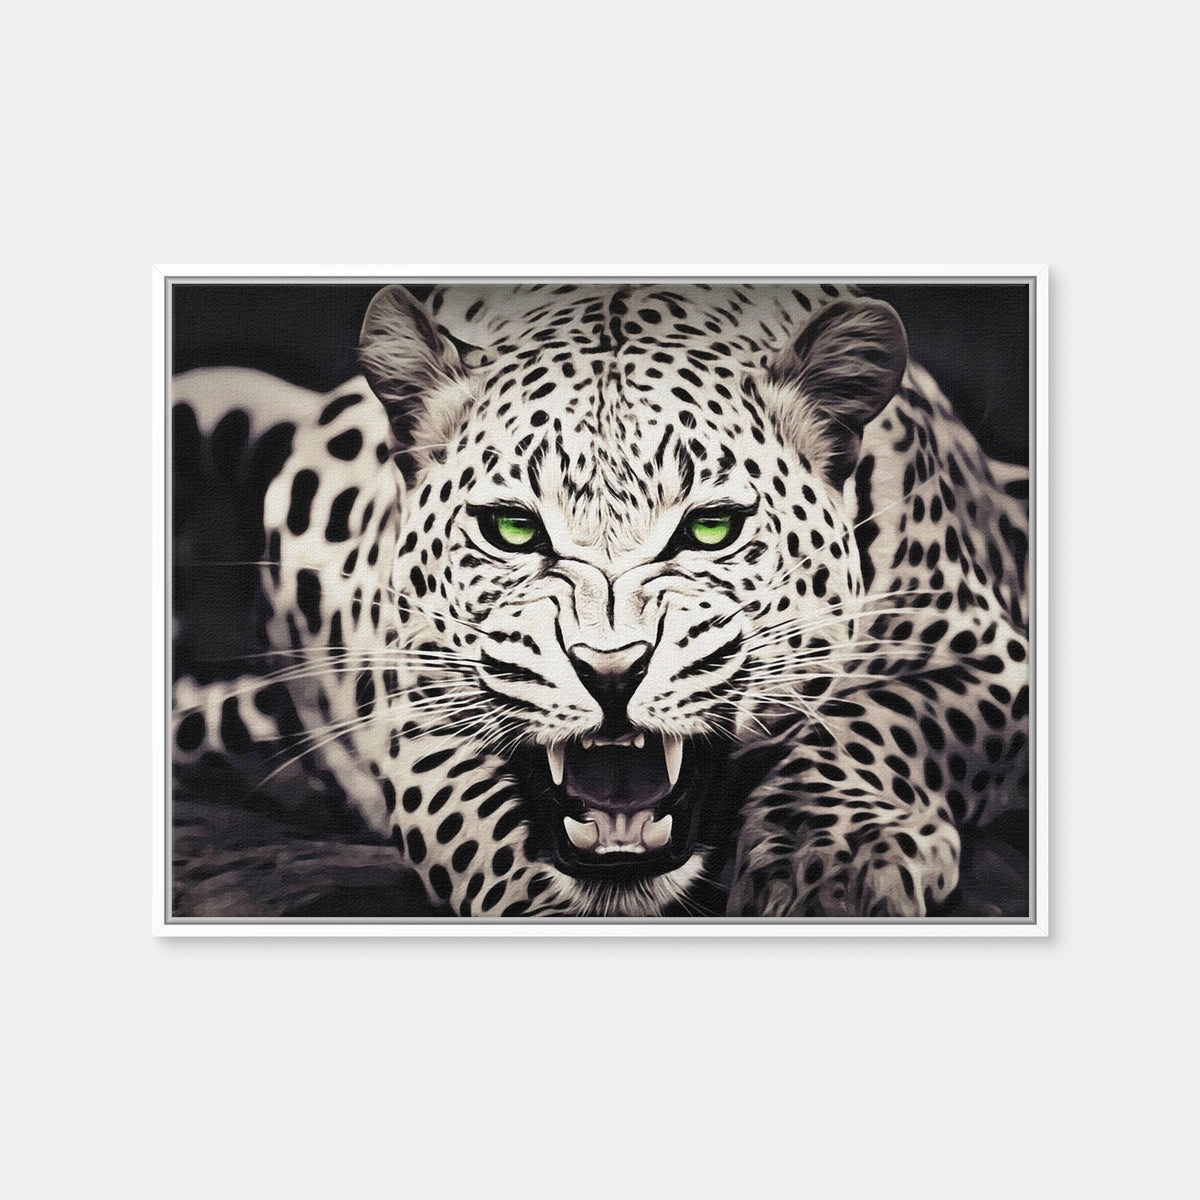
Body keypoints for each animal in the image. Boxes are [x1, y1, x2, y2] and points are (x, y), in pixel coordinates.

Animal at [172, 282, 1030, 919]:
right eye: (513, 528)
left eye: (710, 528)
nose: (610, 671)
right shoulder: (419, 708)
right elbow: (476, 823)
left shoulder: (989, 658)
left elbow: (881, 720)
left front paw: (831, 863)